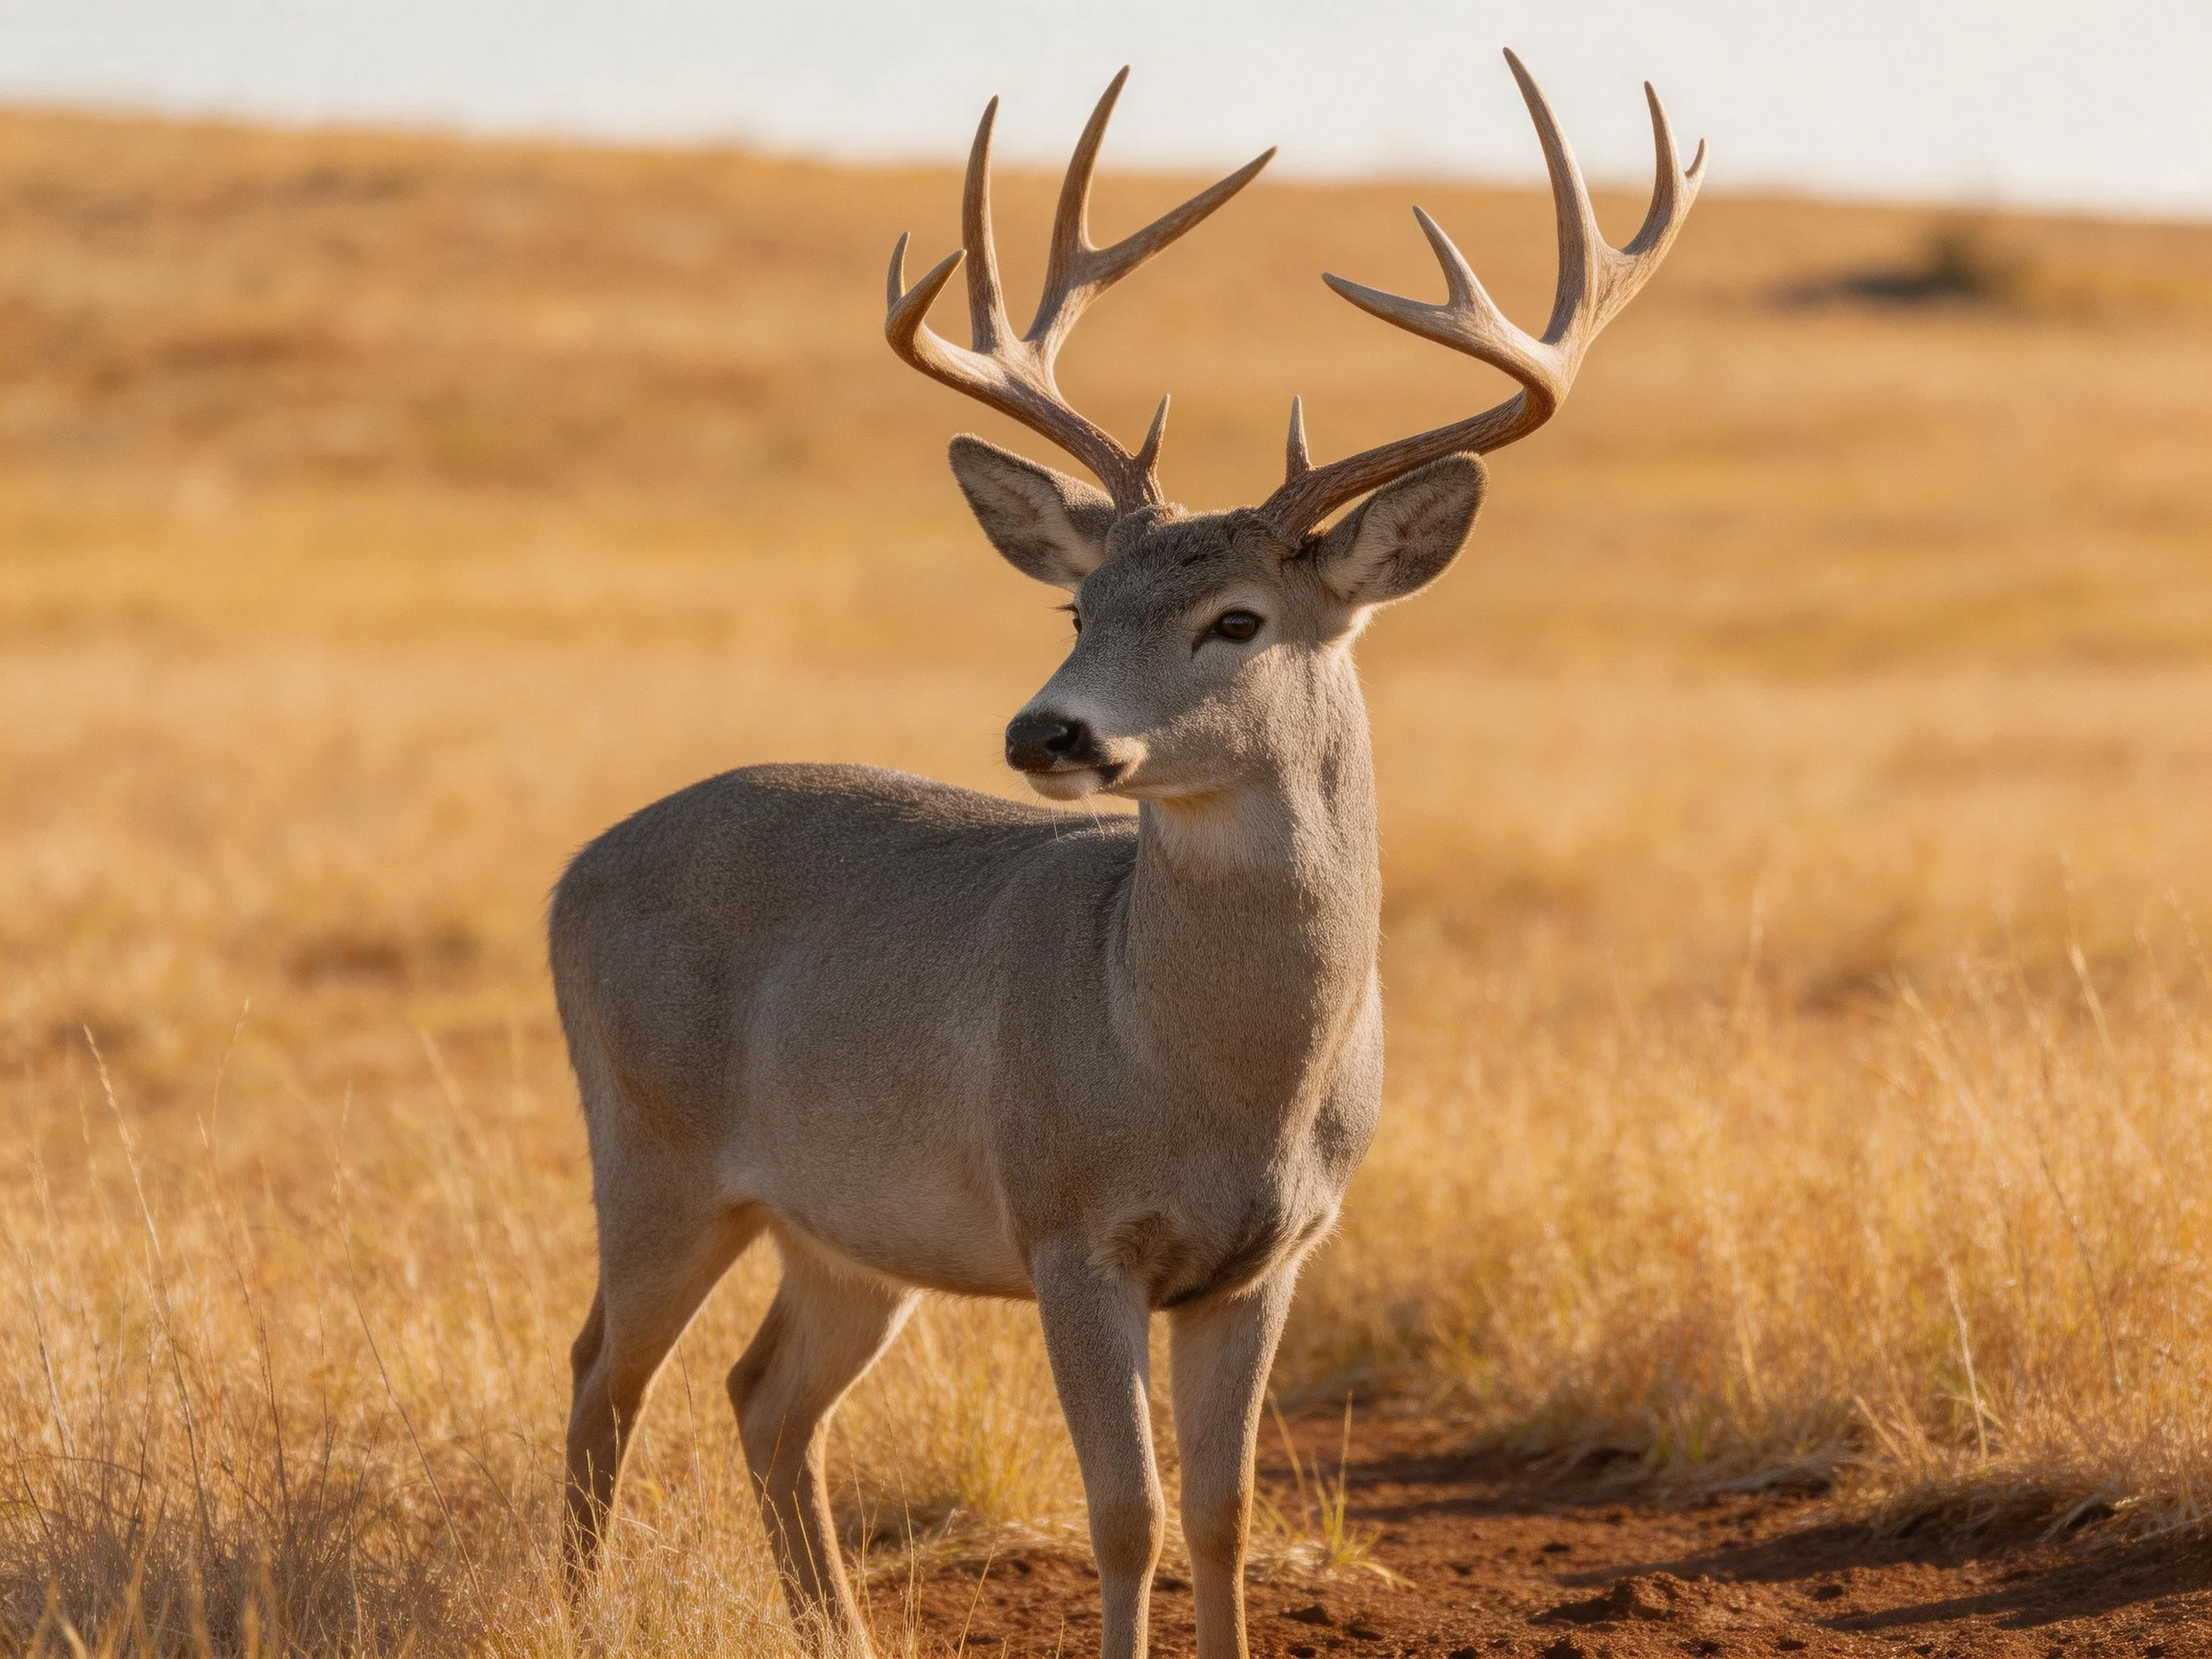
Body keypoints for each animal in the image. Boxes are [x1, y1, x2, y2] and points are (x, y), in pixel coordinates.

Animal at [552, 51, 1701, 1659]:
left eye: (1239, 619)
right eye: (1078, 606)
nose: (1048, 730)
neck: (1209, 1074)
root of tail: (575, 867)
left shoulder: (1274, 1256)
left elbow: (1222, 1513)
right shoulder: (1067, 1228)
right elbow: (1128, 1513)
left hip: (847, 1229)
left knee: (764, 1396)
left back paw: (837, 1630)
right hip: (652, 1148)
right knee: (605, 1372)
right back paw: (578, 1608)